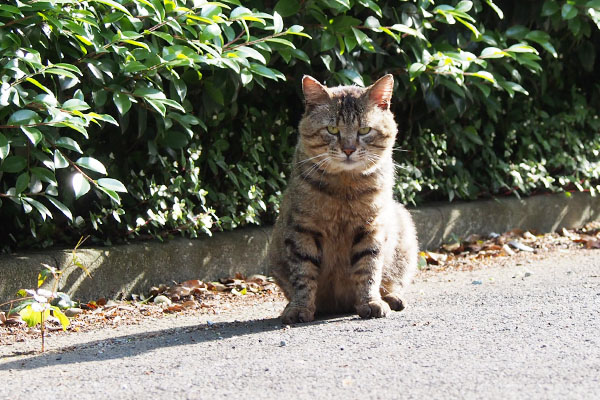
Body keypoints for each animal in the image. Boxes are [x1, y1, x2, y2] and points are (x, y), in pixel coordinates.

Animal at [268, 74, 418, 324]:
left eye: (364, 130)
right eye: (332, 129)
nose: (348, 149)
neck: (344, 188)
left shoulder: (372, 228)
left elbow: (369, 269)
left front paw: (371, 302)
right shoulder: (302, 229)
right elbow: (303, 273)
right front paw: (300, 307)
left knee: (391, 281)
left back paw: (392, 298)